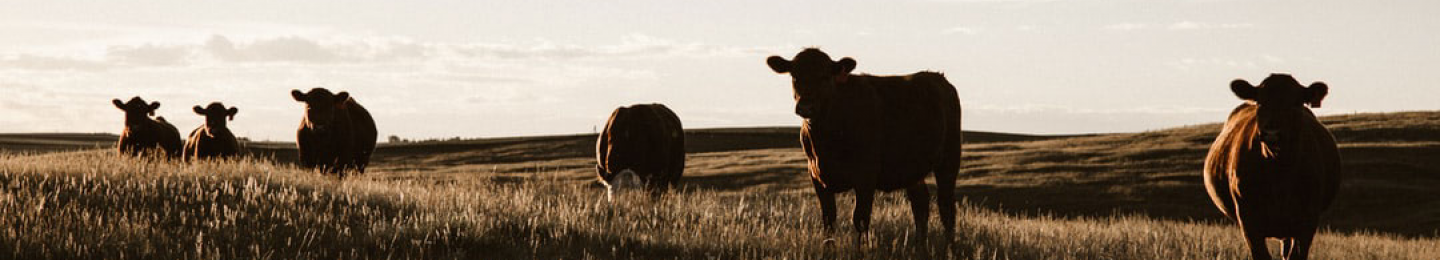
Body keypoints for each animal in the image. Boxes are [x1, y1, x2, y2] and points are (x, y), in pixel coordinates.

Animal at [766, 48, 967, 245]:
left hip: (949, 159)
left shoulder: (866, 176)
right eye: (795, 76)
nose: (806, 106)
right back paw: (920, 246)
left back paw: (949, 247)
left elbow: (860, 219)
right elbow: (828, 221)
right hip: (912, 168)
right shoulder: (816, 177)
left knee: (946, 206)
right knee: (920, 204)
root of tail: (937, 77)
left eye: (825, 76)